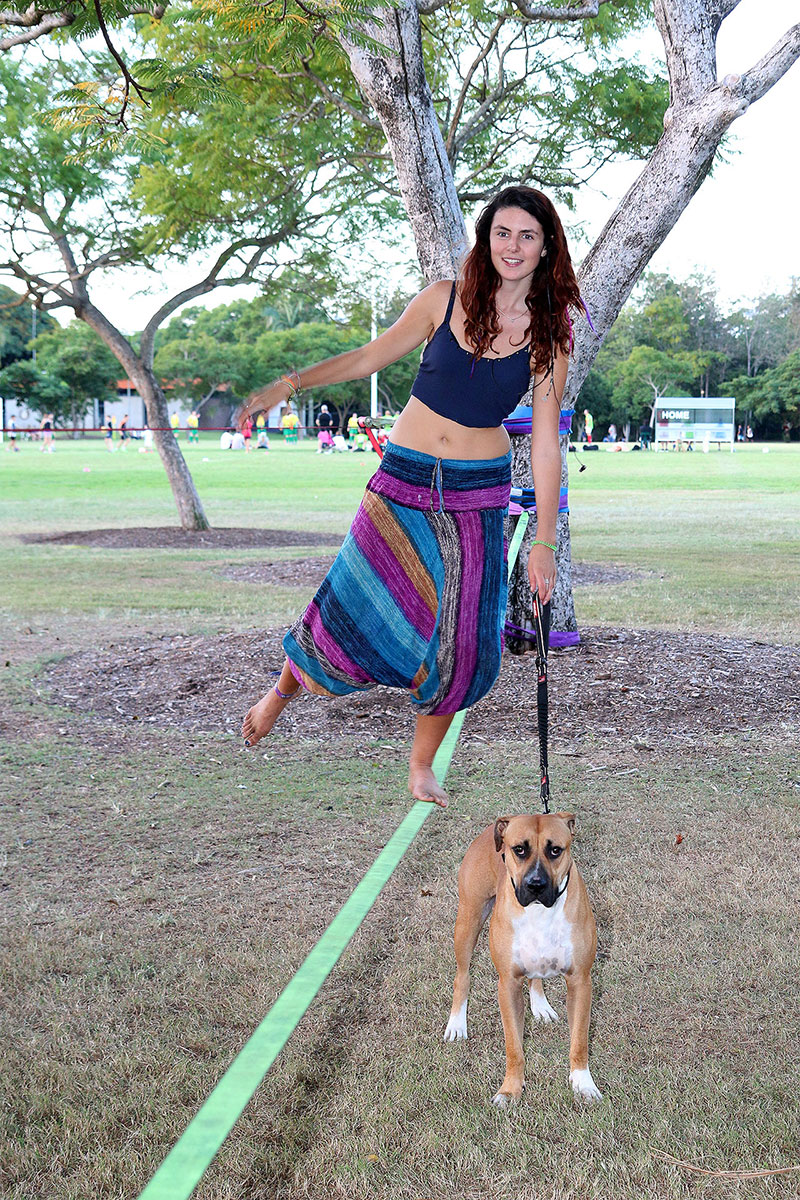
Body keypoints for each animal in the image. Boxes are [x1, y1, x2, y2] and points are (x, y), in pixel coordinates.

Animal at [443, 811, 599, 1099]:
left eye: (555, 850)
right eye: (519, 850)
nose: (535, 885)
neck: (539, 911)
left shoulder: (580, 981)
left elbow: (579, 1040)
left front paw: (583, 1083)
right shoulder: (508, 984)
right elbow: (513, 1046)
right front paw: (510, 1089)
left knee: (534, 976)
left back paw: (540, 1005)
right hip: (468, 920)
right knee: (462, 976)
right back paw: (457, 1024)